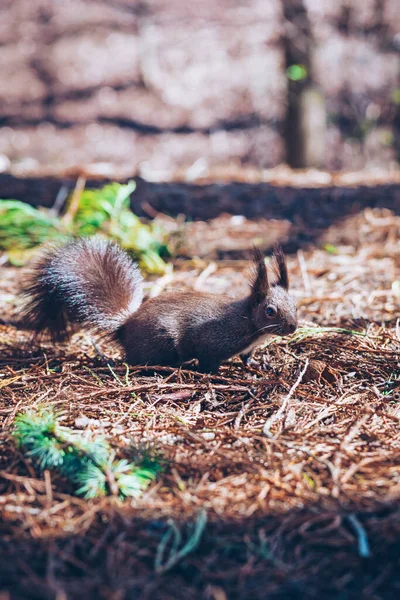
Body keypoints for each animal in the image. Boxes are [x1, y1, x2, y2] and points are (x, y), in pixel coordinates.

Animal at [20, 238, 298, 370]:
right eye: (270, 311)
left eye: (295, 304)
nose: (293, 327)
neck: (248, 322)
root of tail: (125, 326)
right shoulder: (214, 339)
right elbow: (208, 361)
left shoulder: (247, 347)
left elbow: (247, 358)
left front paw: (260, 364)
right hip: (162, 340)